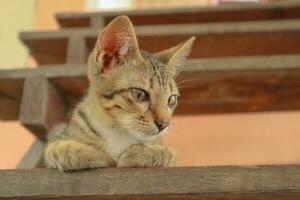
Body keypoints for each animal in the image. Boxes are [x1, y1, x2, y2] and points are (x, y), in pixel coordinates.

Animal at [44, 16, 195, 172]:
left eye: (172, 100)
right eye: (139, 94)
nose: (164, 125)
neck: (117, 132)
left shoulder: (167, 149)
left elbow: (169, 152)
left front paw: (138, 154)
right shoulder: (58, 140)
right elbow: (56, 149)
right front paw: (94, 155)